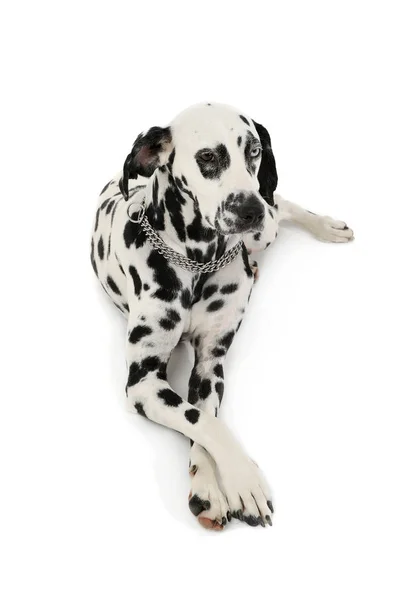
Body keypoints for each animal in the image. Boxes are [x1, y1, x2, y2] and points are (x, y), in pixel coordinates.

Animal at [90, 102, 354, 528]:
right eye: (208, 157)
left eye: (254, 150)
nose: (249, 210)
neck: (197, 262)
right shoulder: (144, 381)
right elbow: (204, 422)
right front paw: (238, 482)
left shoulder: (210, 364)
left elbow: (204, 418)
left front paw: (219, 483)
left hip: (266, 228)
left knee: (282, 206)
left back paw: (324, 225)